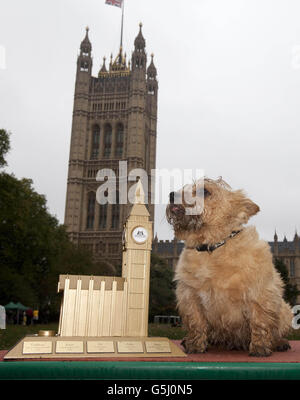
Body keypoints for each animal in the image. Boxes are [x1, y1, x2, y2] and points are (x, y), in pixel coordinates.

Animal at [165, 178, 292, 356]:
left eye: (205, 191)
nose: (171, 195)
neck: (212, 248)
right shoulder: (190, 296)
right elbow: (196, 322)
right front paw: (195, 345)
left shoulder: (259, 294)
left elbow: (260, 322)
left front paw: (260, 347)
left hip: (286, 311)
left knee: (276, 330)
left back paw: (279, 343)